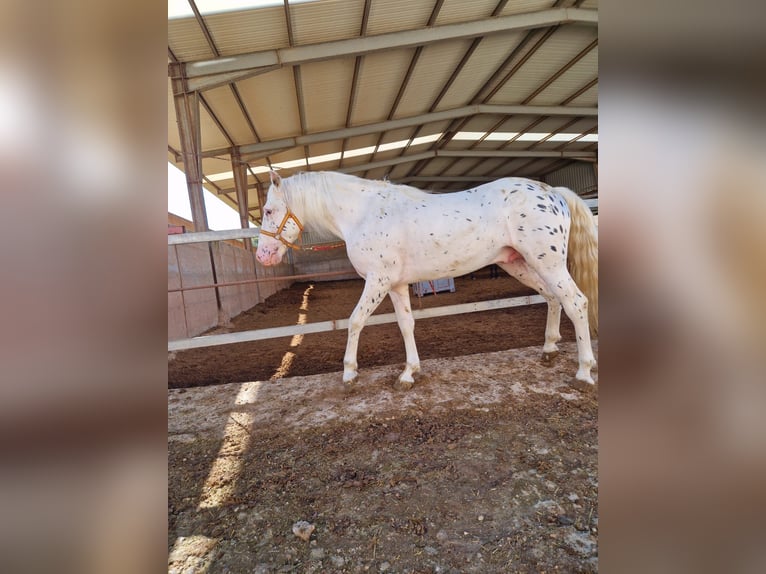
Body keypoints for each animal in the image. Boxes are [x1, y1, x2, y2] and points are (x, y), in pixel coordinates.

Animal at [255, 171, 596, 392]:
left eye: (269, 210)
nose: (262, 256)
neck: (363, 213)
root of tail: (553, 192)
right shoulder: (395, 285)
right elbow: (406, 325)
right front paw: (409, 374)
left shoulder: (377, 281)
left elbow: (355, 322)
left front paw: (349, 374)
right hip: (521, 263)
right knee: (553, 298)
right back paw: (549, 350)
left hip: (547, 262)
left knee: (576, 302)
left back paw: (583, 373)